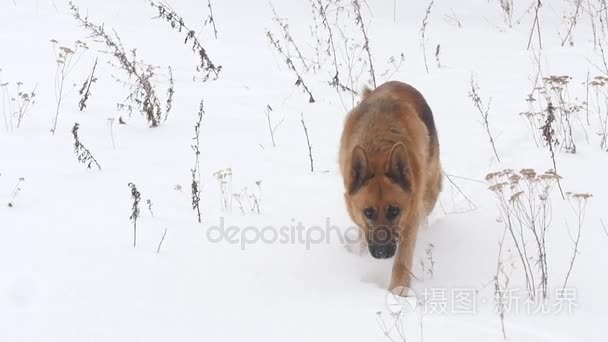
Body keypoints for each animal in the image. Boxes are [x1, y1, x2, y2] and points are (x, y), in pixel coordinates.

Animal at [338, 81, 442, 292]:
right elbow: (363, 234)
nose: (382, 253)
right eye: (368, 212)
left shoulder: (410, 218)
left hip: (430, 190)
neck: (379, 151)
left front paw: (398, 292)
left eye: (394, 211)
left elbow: (402, 261)